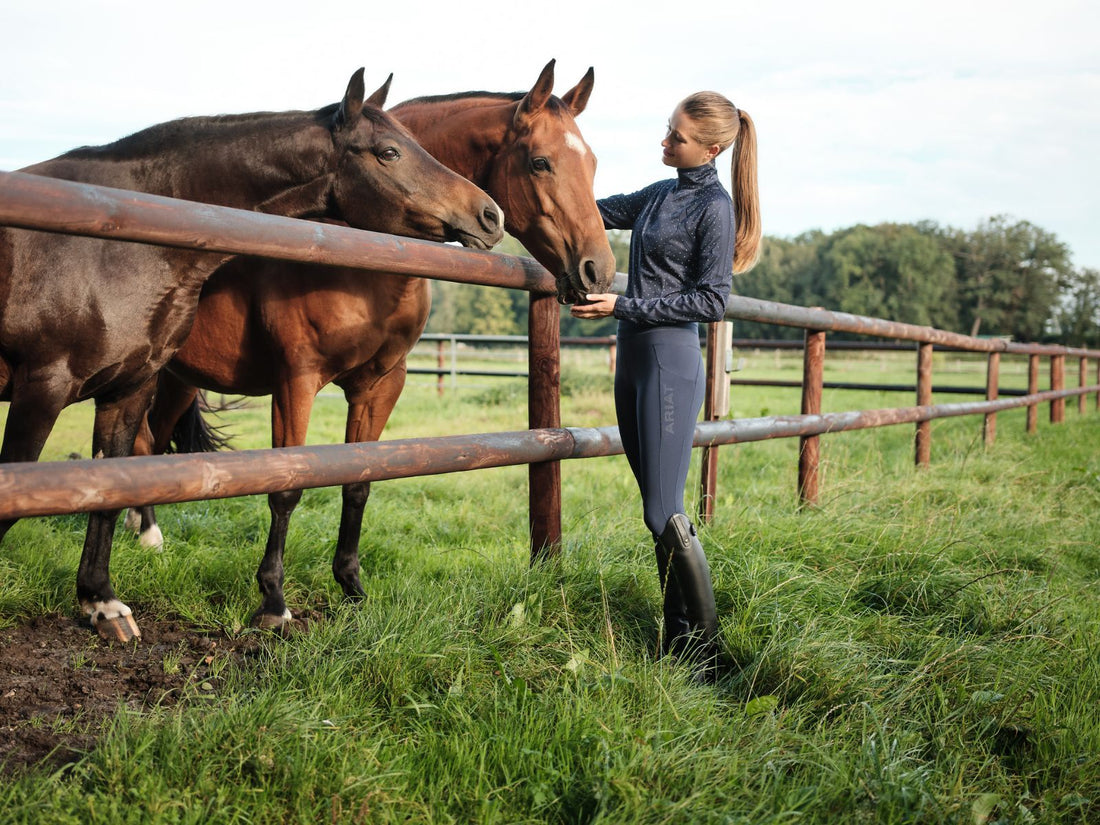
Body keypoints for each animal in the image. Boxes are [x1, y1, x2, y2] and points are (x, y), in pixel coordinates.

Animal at [1, 67, 503, 642]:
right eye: (390, 152)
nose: (490, 215)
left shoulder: (130, 387)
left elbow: (357, 476)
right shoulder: (47, 387)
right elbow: (287, 483)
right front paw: (274, 604)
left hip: (172, 382)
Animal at [126, 61, 620, 633]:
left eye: (593, 163)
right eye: (541, 162)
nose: (598, 270)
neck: (358, 251)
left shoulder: (380, 385)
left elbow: (359, 478)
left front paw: (352, 587)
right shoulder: (295, 381)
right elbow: (287, 485)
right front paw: (273, 602)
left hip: (177, 381)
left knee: (148, 445)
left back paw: (143, 536)